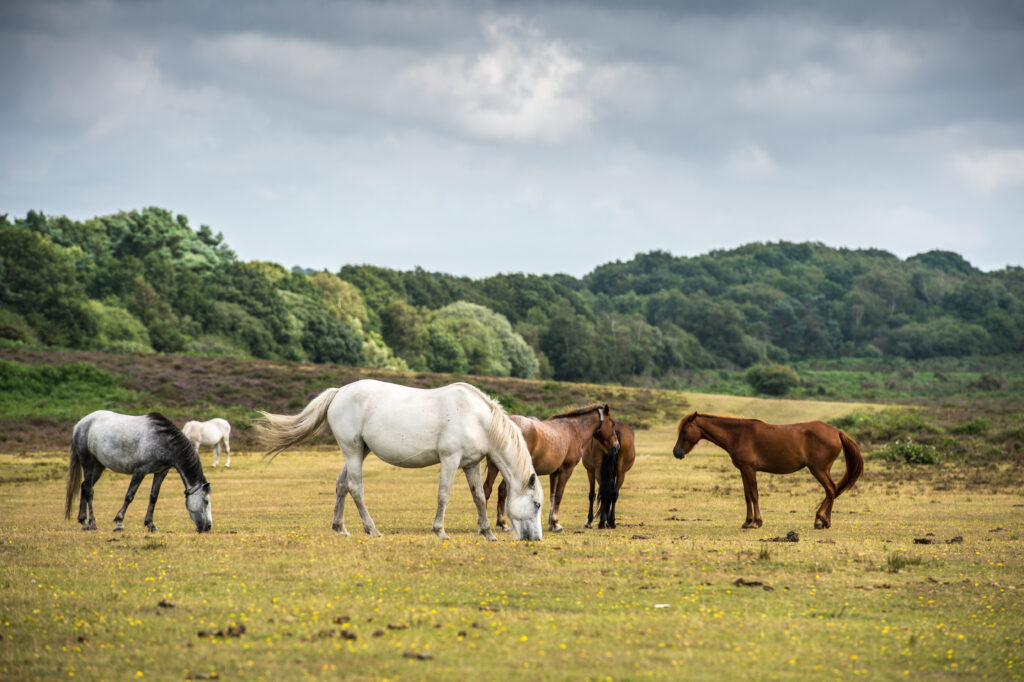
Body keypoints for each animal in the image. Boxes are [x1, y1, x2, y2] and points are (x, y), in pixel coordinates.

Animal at [65, 409, 212, 532]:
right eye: (206, 501)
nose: (208, 527)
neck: (163, 439)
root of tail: (80, 424)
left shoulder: (161, 472)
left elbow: (153, 497)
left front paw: (151, 525)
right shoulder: (140, 470)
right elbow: (130, 495)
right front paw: (119, 523)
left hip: (98, 466)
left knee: (84, 487)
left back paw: (84, 522)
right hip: (88, 463)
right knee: (89, 491)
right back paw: (93, 523)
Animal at [256, 378, 544, 540]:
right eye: (538, 504)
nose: (536, 539)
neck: (476, 417)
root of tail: (339, 392)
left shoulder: (470, 464)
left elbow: (479, 497)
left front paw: (488, 532)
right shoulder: (450, 460)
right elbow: (444, 495)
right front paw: (440, 531)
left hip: (358, 451)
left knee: (341, 485)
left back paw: (340, 528)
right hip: (352, 450)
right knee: (355, 488)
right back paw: (372, 529)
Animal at [483, 403, 618, 532]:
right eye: (612, 423)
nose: (616, 446)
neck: (574, 430)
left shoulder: (554, 473)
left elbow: (552, 496)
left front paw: (551, 523)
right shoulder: (566, 471)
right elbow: (558, 495)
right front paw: (556, 523)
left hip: (494, 467)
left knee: (488, 489)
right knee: (502, 490)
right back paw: (503, 523)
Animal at [671, 411, 864, 528]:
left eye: (685, 431)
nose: (676, 452)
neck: (738, 434)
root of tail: (837, 432)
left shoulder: (750, 469)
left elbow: (754, 495)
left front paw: (756, 522)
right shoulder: (743, 470)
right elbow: (747, 496)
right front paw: (747, 522)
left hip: (818, 469)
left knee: (831, 490)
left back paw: (820, 520)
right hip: (823, 470)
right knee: (832, 490)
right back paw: (825, 521)